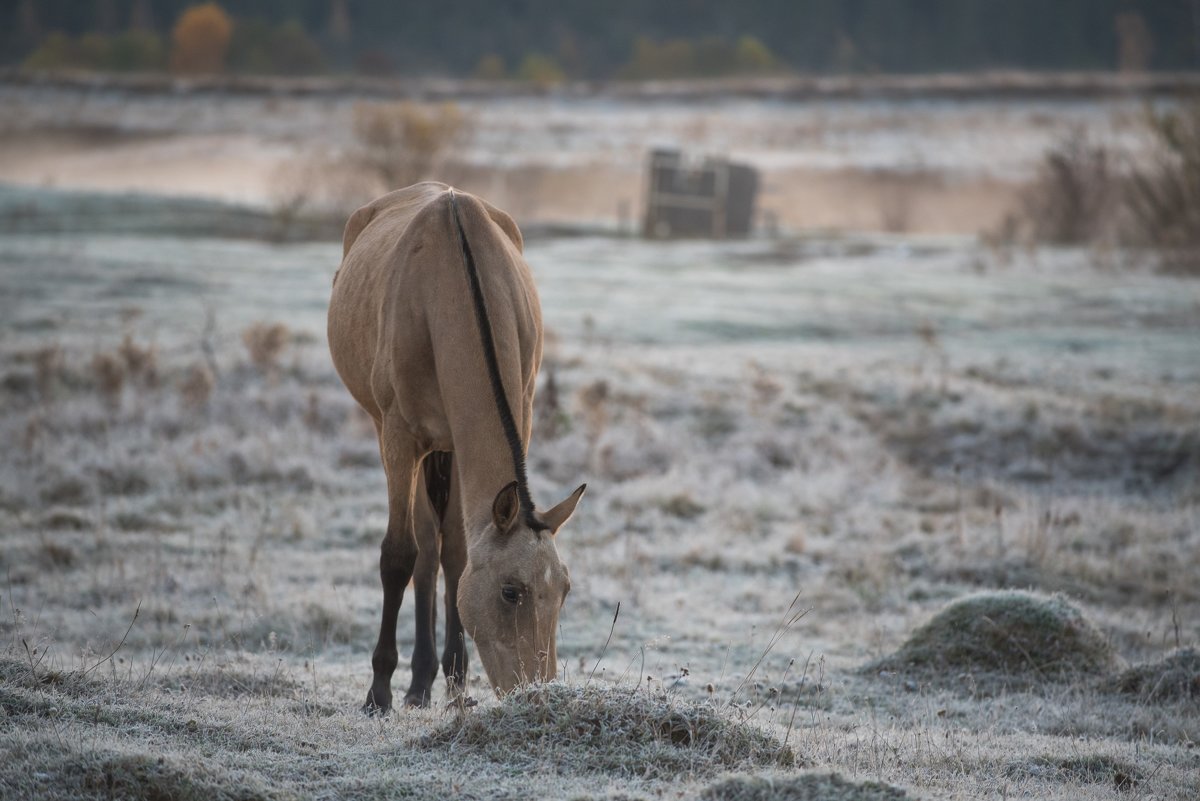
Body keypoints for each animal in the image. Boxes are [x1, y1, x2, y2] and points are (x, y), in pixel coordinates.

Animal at [324, 183, 585, 714]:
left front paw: (459, 685)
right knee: (424, 547)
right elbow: (398, 555)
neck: (445, 290)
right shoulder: (399, 435)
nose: (537, 692)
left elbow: (460, 556)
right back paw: (416, 682)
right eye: (511, 592)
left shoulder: (496, 430)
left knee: (443, 547)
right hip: (406, 440)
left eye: (565, 588)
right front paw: (379, 691)